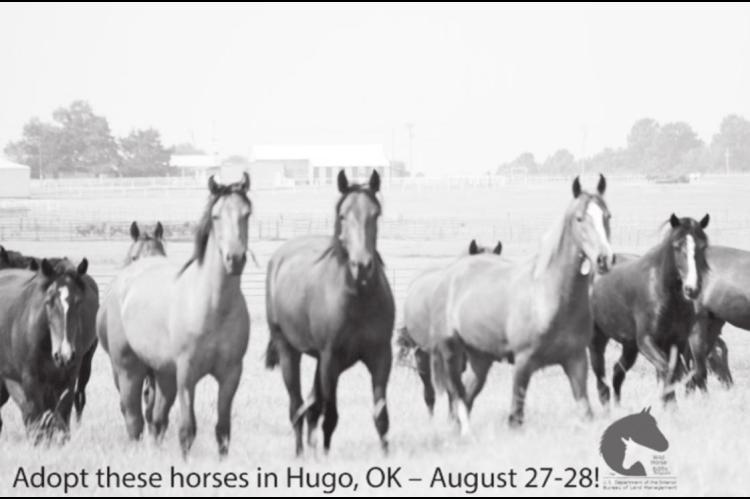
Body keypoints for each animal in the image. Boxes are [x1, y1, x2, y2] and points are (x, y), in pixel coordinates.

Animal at [0, 257, 91, 442]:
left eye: (78, 302)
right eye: (49, 301)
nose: (64, 355)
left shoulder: (67, 380)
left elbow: (60, 419)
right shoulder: (30, 382)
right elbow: (36, 421)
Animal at [98, 174, 251, 457]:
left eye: (246, 214)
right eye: (215, 216)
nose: (235, 258)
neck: (212, 306)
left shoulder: (231, 374)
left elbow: (223, 431)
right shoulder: (186, 374)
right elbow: (187, 430)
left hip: (162, 374)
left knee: (156, 419)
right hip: (128, 369)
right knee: (134, 419)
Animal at [265, 169, 395, 456]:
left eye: (375, 214)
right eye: (343, 215)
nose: (362, 266)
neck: (358, 298)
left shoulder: (381, 356)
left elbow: (381, 415)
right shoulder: (330, 359)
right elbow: (331, 416)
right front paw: (324, 457)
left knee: (312, 406)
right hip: (289, 351)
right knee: (298, 408)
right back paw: (301, 454)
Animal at [433, 175, 613, 434]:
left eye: (607, 216)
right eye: (579, 218)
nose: (604, 259)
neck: (549, 297)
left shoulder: (576, 361)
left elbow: (586, 412)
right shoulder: (523, 363)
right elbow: (515, 418)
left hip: (480, 359)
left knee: (465, 397)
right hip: (455, 357)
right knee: (455, 395)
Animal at [589, 214, 710, 406]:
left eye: (703, 246)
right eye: (677, 246)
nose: (692, 288)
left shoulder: (675, 342)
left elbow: (682, 372)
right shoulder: (646, 341)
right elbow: (668, 370)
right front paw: (670, 405)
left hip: (630, 345)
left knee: (618, 371)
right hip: (597, 338)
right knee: (601, 379)